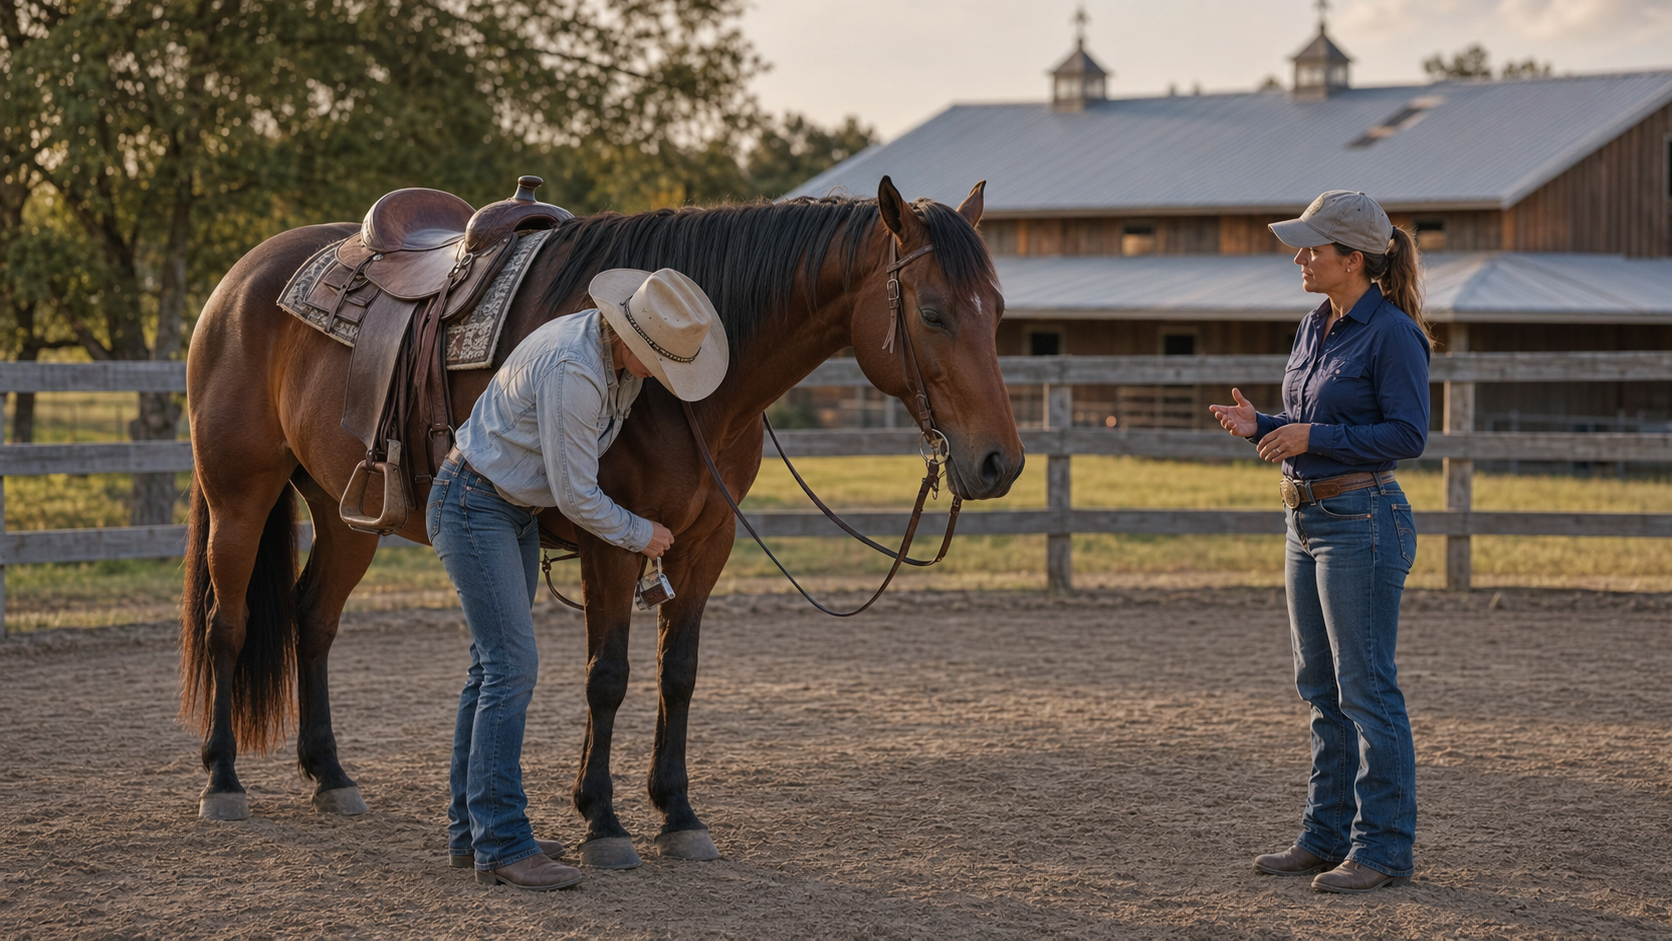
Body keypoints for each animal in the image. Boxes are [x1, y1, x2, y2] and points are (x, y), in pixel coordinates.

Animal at [179, 176, 1025, 867]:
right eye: (932, 311)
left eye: (1000, 313)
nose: (999, 462)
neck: (686, 392)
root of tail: (238, 282)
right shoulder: (608, 542)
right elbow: (608, 675)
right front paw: (604, 821)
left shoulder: (704, 543)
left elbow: (677, 673)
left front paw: (678, 814)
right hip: (239, 496)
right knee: (229, 622)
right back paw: (223, 780)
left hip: (346, 510)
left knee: (312, 620)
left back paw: (330, 774)